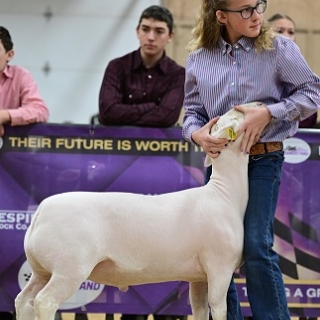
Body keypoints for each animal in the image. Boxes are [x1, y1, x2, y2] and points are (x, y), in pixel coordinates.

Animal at [14, 105, 250, 320]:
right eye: (233, 115)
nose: (254, 105)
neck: (223, 193)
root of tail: (41, 210)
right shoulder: (219, 267)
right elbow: (218, 309)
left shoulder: (198, 276)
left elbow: (200, 309)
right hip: (68, 268)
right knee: (44, 301)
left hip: (41, 270)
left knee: (24, 299)